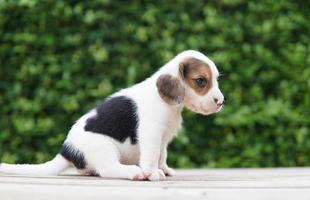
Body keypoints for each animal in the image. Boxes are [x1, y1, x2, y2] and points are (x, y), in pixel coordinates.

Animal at [0, 50, 224, 181]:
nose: (221, 101)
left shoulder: (164, 138)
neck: (168, 103)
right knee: (107, 169)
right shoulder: (152, 134)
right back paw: (133, 172)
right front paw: (152, 172)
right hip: (104, 147)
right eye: (201, 81)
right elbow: (151, 156)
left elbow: (162, 155)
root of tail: (66, 150)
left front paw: (164, 169)